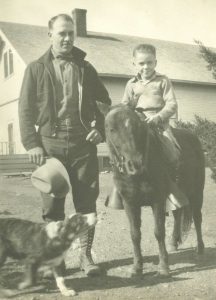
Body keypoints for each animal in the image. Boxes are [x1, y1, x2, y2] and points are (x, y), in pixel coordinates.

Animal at [105, 105, 205, 276]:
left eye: (138, 126)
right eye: (112, 129)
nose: (134, 164)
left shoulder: (157, 200)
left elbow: (159, 232)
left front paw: (163, 266)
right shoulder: (130, 203)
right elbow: (134, 234)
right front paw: (137, 267)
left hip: (197, 193)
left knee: (197, 218)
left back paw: (200, 249)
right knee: (177, 215)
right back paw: (173, 243)